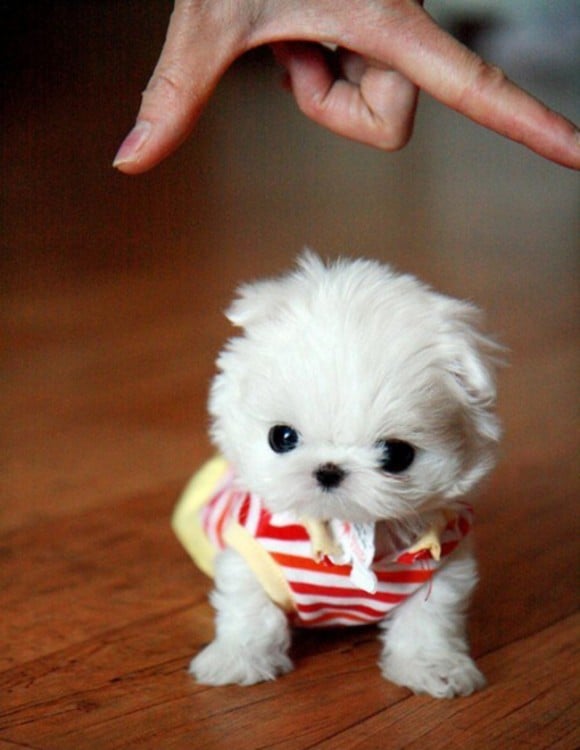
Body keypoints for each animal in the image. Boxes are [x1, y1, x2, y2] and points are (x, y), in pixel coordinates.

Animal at [173, 253, 502, 700]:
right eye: (282, 437)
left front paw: (432, 668)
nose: (329, 470)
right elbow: (250, 611)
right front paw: (238, 660)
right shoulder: (248, 557)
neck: (345, 529)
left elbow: (428, 622)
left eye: (396, 455)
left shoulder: (443, 568)